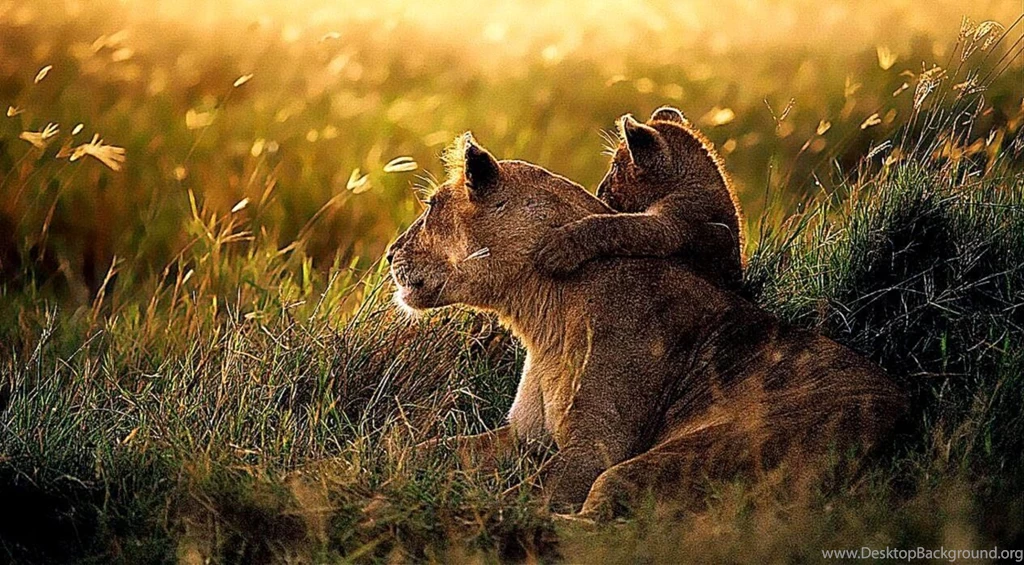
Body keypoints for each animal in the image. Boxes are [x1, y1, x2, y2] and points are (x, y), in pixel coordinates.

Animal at [387, 133, 905, 519]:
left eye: (430, 206)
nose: (390, 253)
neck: (542, 316)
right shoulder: (523, 435)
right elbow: (426, 449)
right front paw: (388, 463)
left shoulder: (594, 450)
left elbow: (523, 496)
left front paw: (443, 505)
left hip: (691, 453)